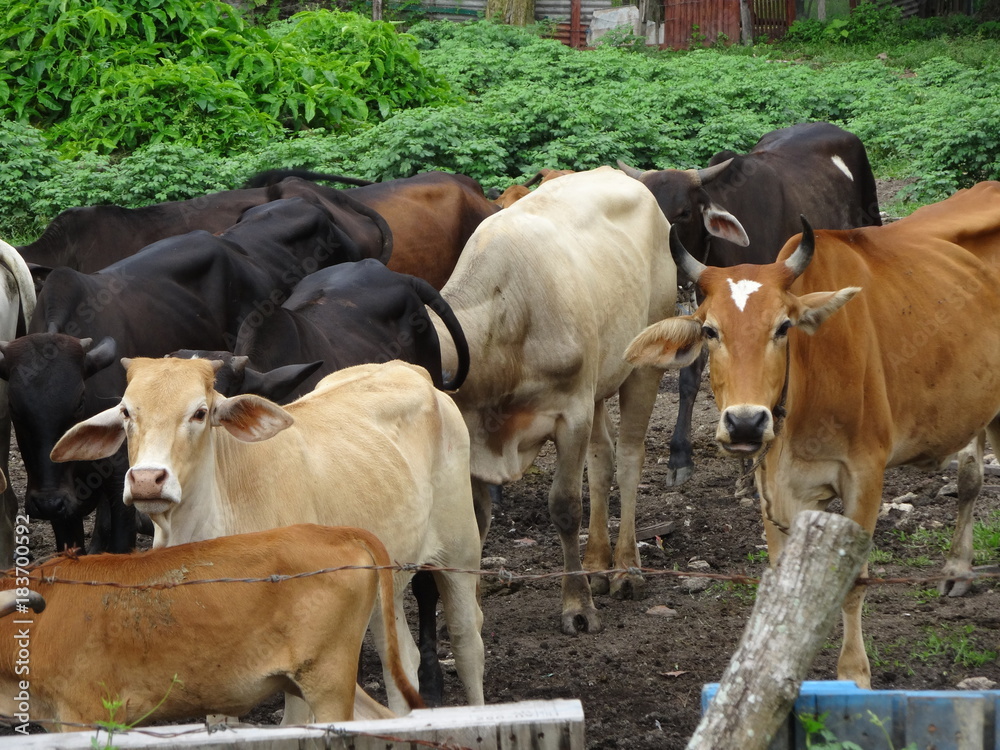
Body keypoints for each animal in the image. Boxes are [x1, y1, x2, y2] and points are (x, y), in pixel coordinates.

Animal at [51, 357, 486, 713]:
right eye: (126, 412)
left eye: (200, 412)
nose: (146, 480)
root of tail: (414, 371)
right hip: (385, 583)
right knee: (402, 662)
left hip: (461, 554)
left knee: (468, 643)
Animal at [428, 166, 675, 633]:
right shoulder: (471, 434)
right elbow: (476, 517)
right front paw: (470, 608)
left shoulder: (570, 413)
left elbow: (564, 507)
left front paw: (577, 606)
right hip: (598, 379)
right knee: (603, 459)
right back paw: (597, 564)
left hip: (645, 362)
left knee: (629, 459)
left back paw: (626, 570)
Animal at [623, 181, 1000, 688]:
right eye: (709, 330)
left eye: (783, 327)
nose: (746, 422)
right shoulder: (779, 488)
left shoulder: (865, 476)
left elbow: (853, 583)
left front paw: (854, 674)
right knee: (970, 478)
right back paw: (959, 568)